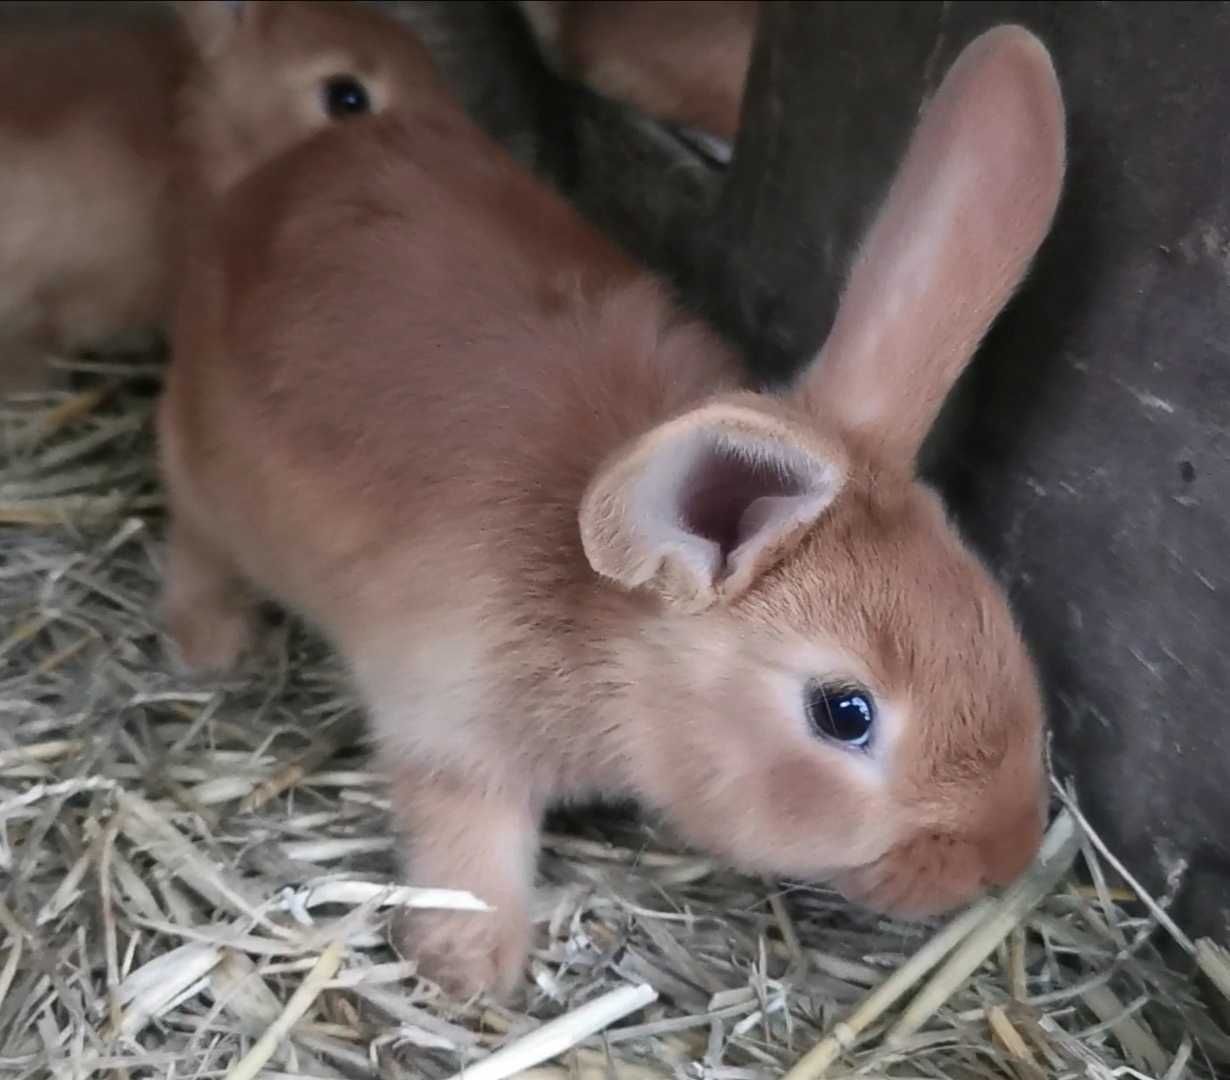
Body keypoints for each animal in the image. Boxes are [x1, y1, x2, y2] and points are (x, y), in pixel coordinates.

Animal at [158, 4, 1067, 1008]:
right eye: (845, 713)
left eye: (997, 622)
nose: (998, 857)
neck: (610, 629)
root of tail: (276, 180)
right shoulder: (452, 733)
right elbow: (466, 845)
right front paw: (472, 967)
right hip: (205, 472)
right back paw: (212, 641)